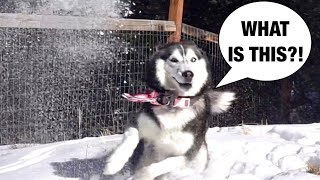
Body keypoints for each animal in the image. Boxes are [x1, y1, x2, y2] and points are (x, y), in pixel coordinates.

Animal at [103, 41, 235, 180]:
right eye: (174, 60)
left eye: (193, 59)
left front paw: (141, 174)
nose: (188, 73)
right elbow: (130, 137)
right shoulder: (138, 122)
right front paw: (113, 164)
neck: (174, 102)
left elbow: (163, 165)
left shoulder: (188, 153)